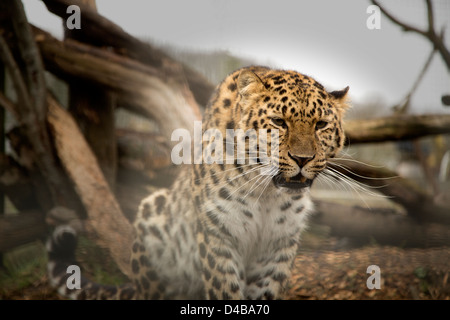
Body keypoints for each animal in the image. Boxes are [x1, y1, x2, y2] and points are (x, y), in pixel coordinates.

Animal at [47, 65, 350, 300]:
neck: (267, 193)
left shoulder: (278, 247)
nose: (302, 158)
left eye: (321, 125)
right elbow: (225, 291)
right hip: (153, 215)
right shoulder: (218, 237)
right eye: (279, 122)